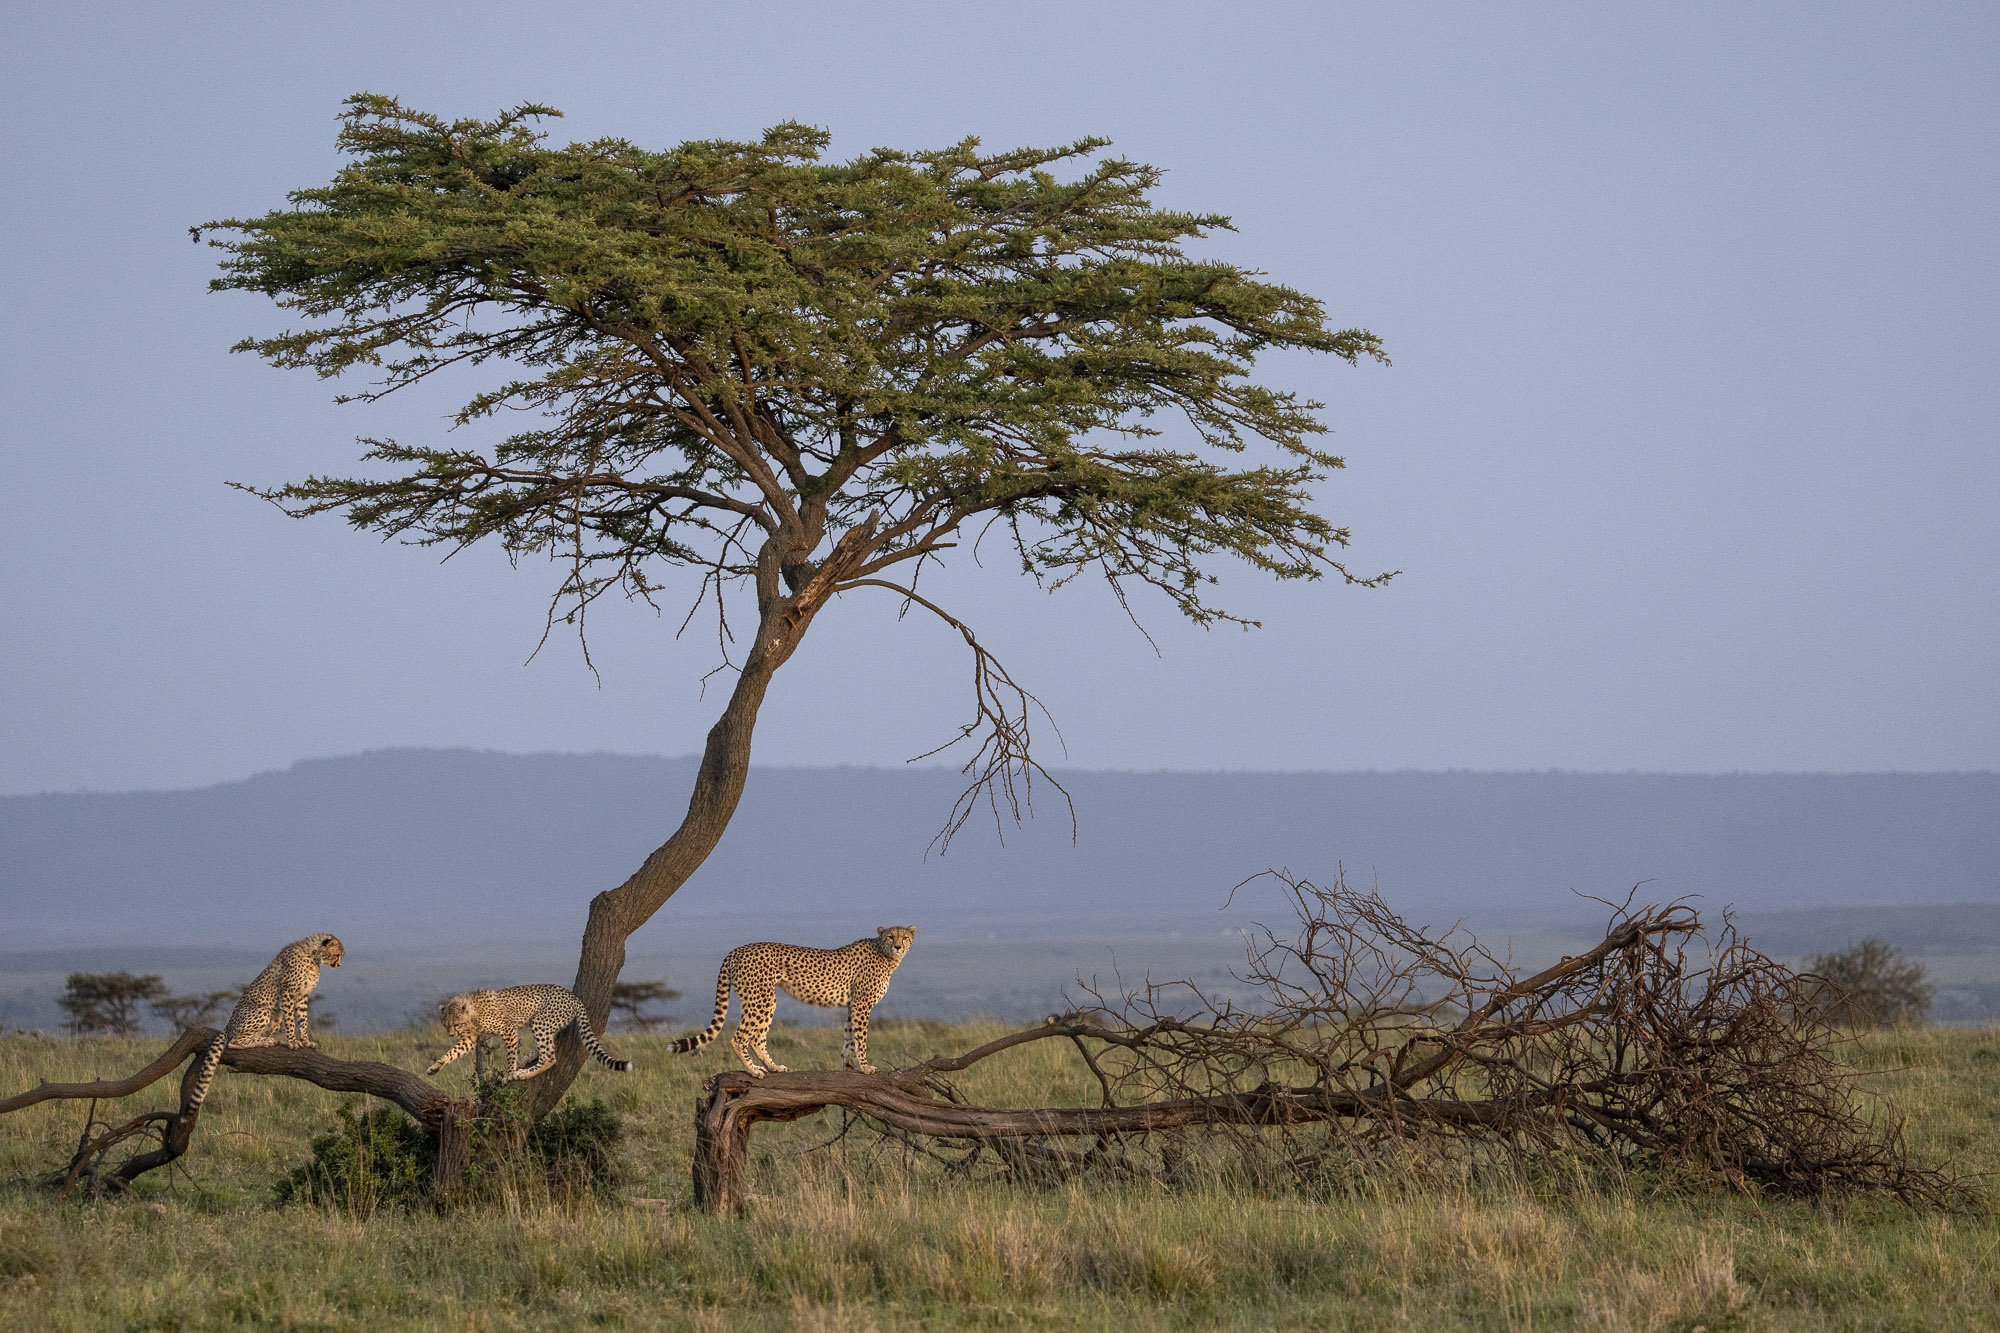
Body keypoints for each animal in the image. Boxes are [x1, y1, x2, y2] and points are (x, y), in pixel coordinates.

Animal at [185, 933, 344, 1115]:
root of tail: (228, 1025)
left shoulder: (302, 996)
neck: (313, 956)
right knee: (234, 1041)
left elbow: (303, 1021)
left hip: (274, 1019)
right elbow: (291, 1021)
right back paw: (267, 1041)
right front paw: (293, 1043)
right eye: (337, 955)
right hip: (263, 1011)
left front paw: (305, 1041)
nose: (339, 964)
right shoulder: (287, 993)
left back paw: (271, 1040)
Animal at [426, 984, 630, 1083]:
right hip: (547, 1023)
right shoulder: (470, 1038)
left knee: (549, 1057)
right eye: (445, 1025)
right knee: (548, 1047)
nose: (451, 1034)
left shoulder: (508, 1029)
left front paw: (510, 1073)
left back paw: (521, 1074)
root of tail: (573, 996)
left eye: (456, 1024)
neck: (473, 1014)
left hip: (540, 1021)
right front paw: (436, 1066)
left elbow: (510, 1055)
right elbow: (453, 1052)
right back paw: (525, 1061)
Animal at [670, 926, 915, 1077]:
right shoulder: (862, 1005)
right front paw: (865, 1067)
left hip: (765, 1000)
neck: (885, 955)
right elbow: (861, 1039)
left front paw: (848, 1065)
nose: (898, 946)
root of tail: (738, 949)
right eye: (890, 936)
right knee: (739, 1038)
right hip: (761, 999)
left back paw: (773, 1067)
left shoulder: (852, 1005)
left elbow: (849, 1037)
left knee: (757, 1039)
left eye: (905, 937)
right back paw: (753, 1071)